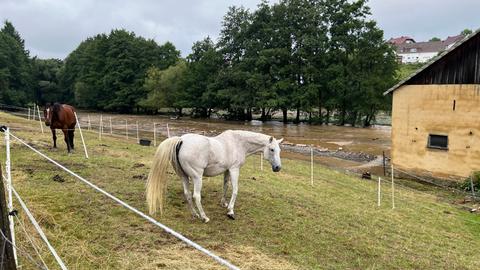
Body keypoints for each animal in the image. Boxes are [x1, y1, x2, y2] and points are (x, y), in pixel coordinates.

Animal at [145, 130, 282, 221]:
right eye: (272, 149)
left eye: (279, 150)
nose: (278, 168)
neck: (238, 143)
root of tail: (181, 140)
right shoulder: (234, 169)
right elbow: (235, 190)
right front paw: (230, 211)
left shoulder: (227, 170)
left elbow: (225, 186)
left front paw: (223, 204)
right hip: (197, 177)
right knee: (196, 196)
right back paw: (204, 217)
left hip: (183, 176)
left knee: (187, 194)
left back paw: (194, 214)